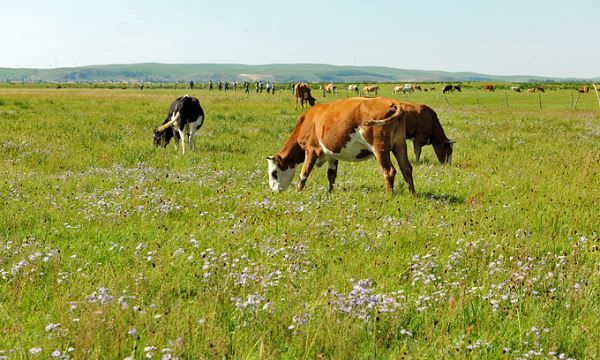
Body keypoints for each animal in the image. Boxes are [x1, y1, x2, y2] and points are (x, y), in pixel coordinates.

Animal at [268, 96, 414, 194]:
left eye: (274, 173)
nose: (273, 190)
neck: (308, 121)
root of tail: (391, 101)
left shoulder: (312, 150)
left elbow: (304, 174)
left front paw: (298, 192)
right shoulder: (331, 155)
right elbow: (331, 175)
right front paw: (330, 192)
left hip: (379, 148)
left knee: (389, 171)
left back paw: (389, 195)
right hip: (399, 144)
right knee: (406, 168)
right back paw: (413, 193)